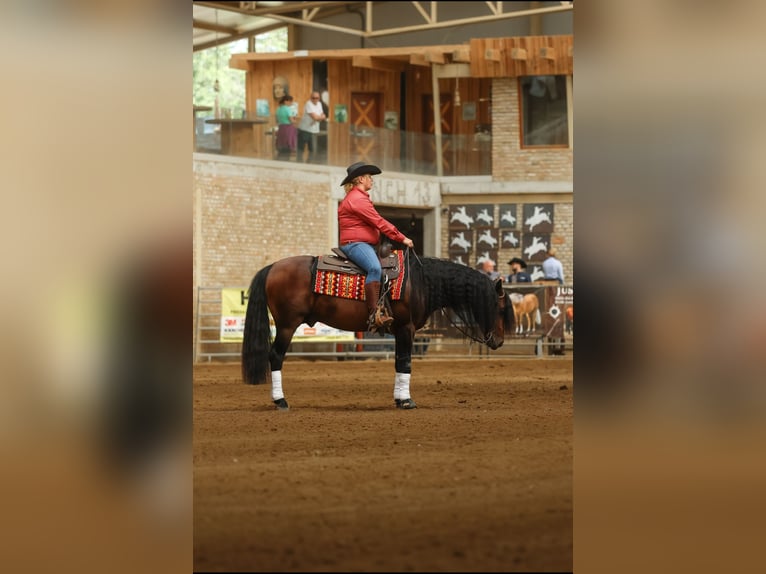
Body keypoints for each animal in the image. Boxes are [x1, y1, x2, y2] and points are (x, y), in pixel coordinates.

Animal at [241, 250, 514, 410]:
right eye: (500, 309)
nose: (499, 341)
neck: (420, 282)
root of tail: (273, 267)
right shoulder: (406, 329)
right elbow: (405, 363)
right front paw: (406, 401)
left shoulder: (401, 331)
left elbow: (398, 363)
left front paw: (399, 398)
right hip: (287, 325)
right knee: (275, 356)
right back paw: (280, 401)